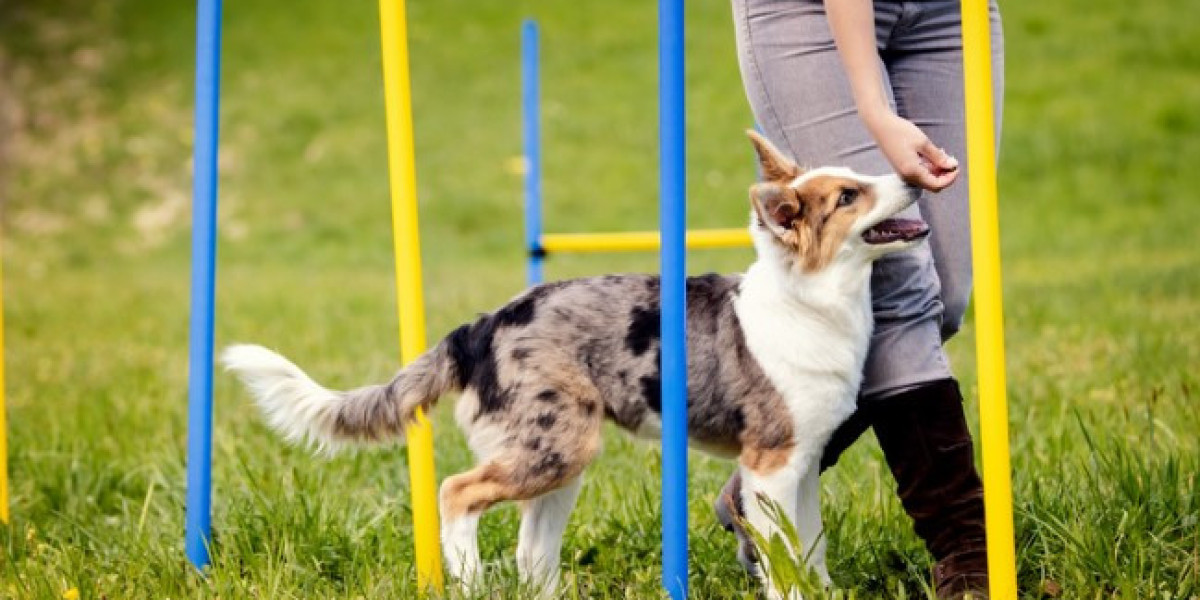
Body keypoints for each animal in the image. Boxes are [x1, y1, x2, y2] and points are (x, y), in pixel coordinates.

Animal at [223, 132, 926, 600]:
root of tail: (480, 326)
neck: (812, 303)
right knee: (458, 493)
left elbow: (811, 547)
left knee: (531, 550)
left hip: (561, 458)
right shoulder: (771, 466)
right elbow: (784, 561)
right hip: (555, 448)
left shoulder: (802, 466)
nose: (915, 174)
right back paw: (469, 581)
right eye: (848, 195)